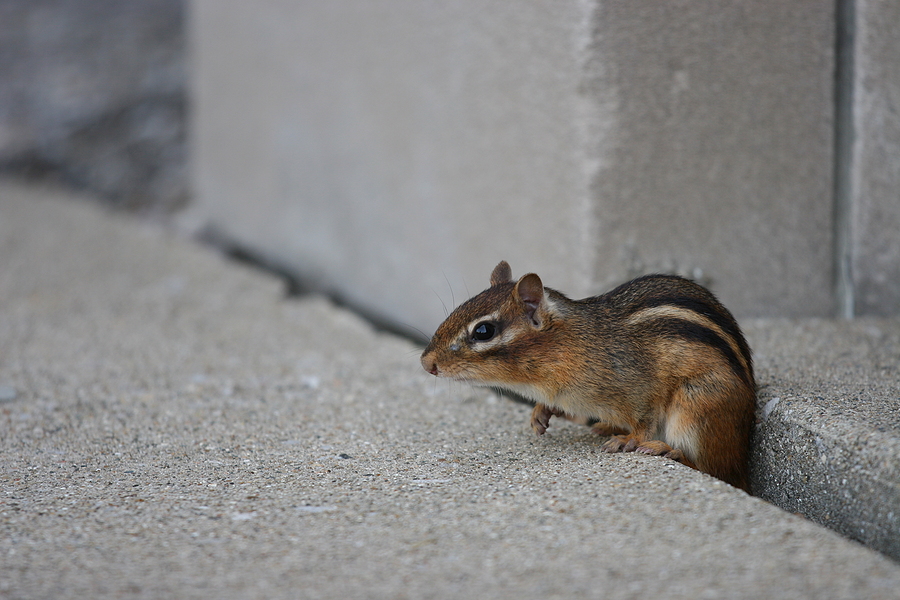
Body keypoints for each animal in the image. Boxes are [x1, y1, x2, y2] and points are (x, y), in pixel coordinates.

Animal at [420, 261, 756, 491]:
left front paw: (631, 439)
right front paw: (540, 413)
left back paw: (666, 449)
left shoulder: (639, 388)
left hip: (697, 407)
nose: (426, 363)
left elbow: (644, 420)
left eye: (483, 331)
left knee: (712, 468)